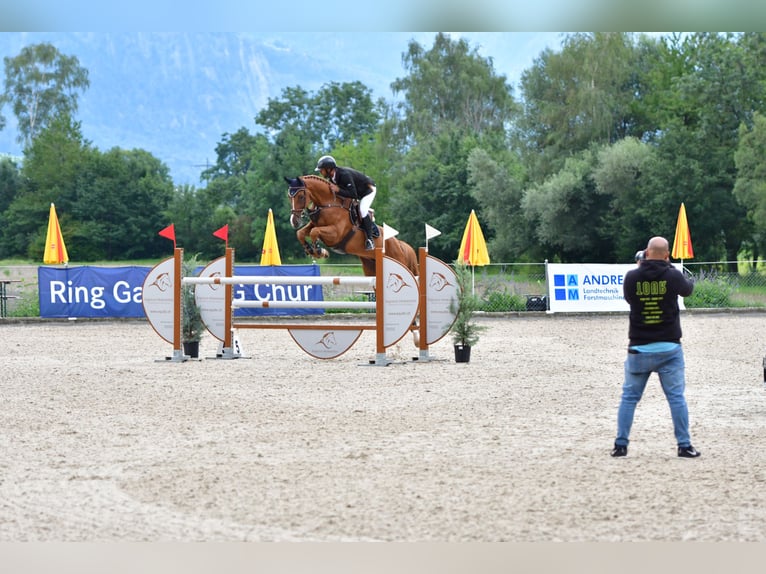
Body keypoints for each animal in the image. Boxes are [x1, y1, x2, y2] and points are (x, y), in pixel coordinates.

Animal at [286, 176, 420, 280]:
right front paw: (309, 250)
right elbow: (301, 233)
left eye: (301, 196)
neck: (329, 204)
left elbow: (314, 232)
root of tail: (400, 244)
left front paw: (319, 252)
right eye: (289, 197)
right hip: (371, 267)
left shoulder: (335, 234)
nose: (294, 221)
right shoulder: (314, 225)